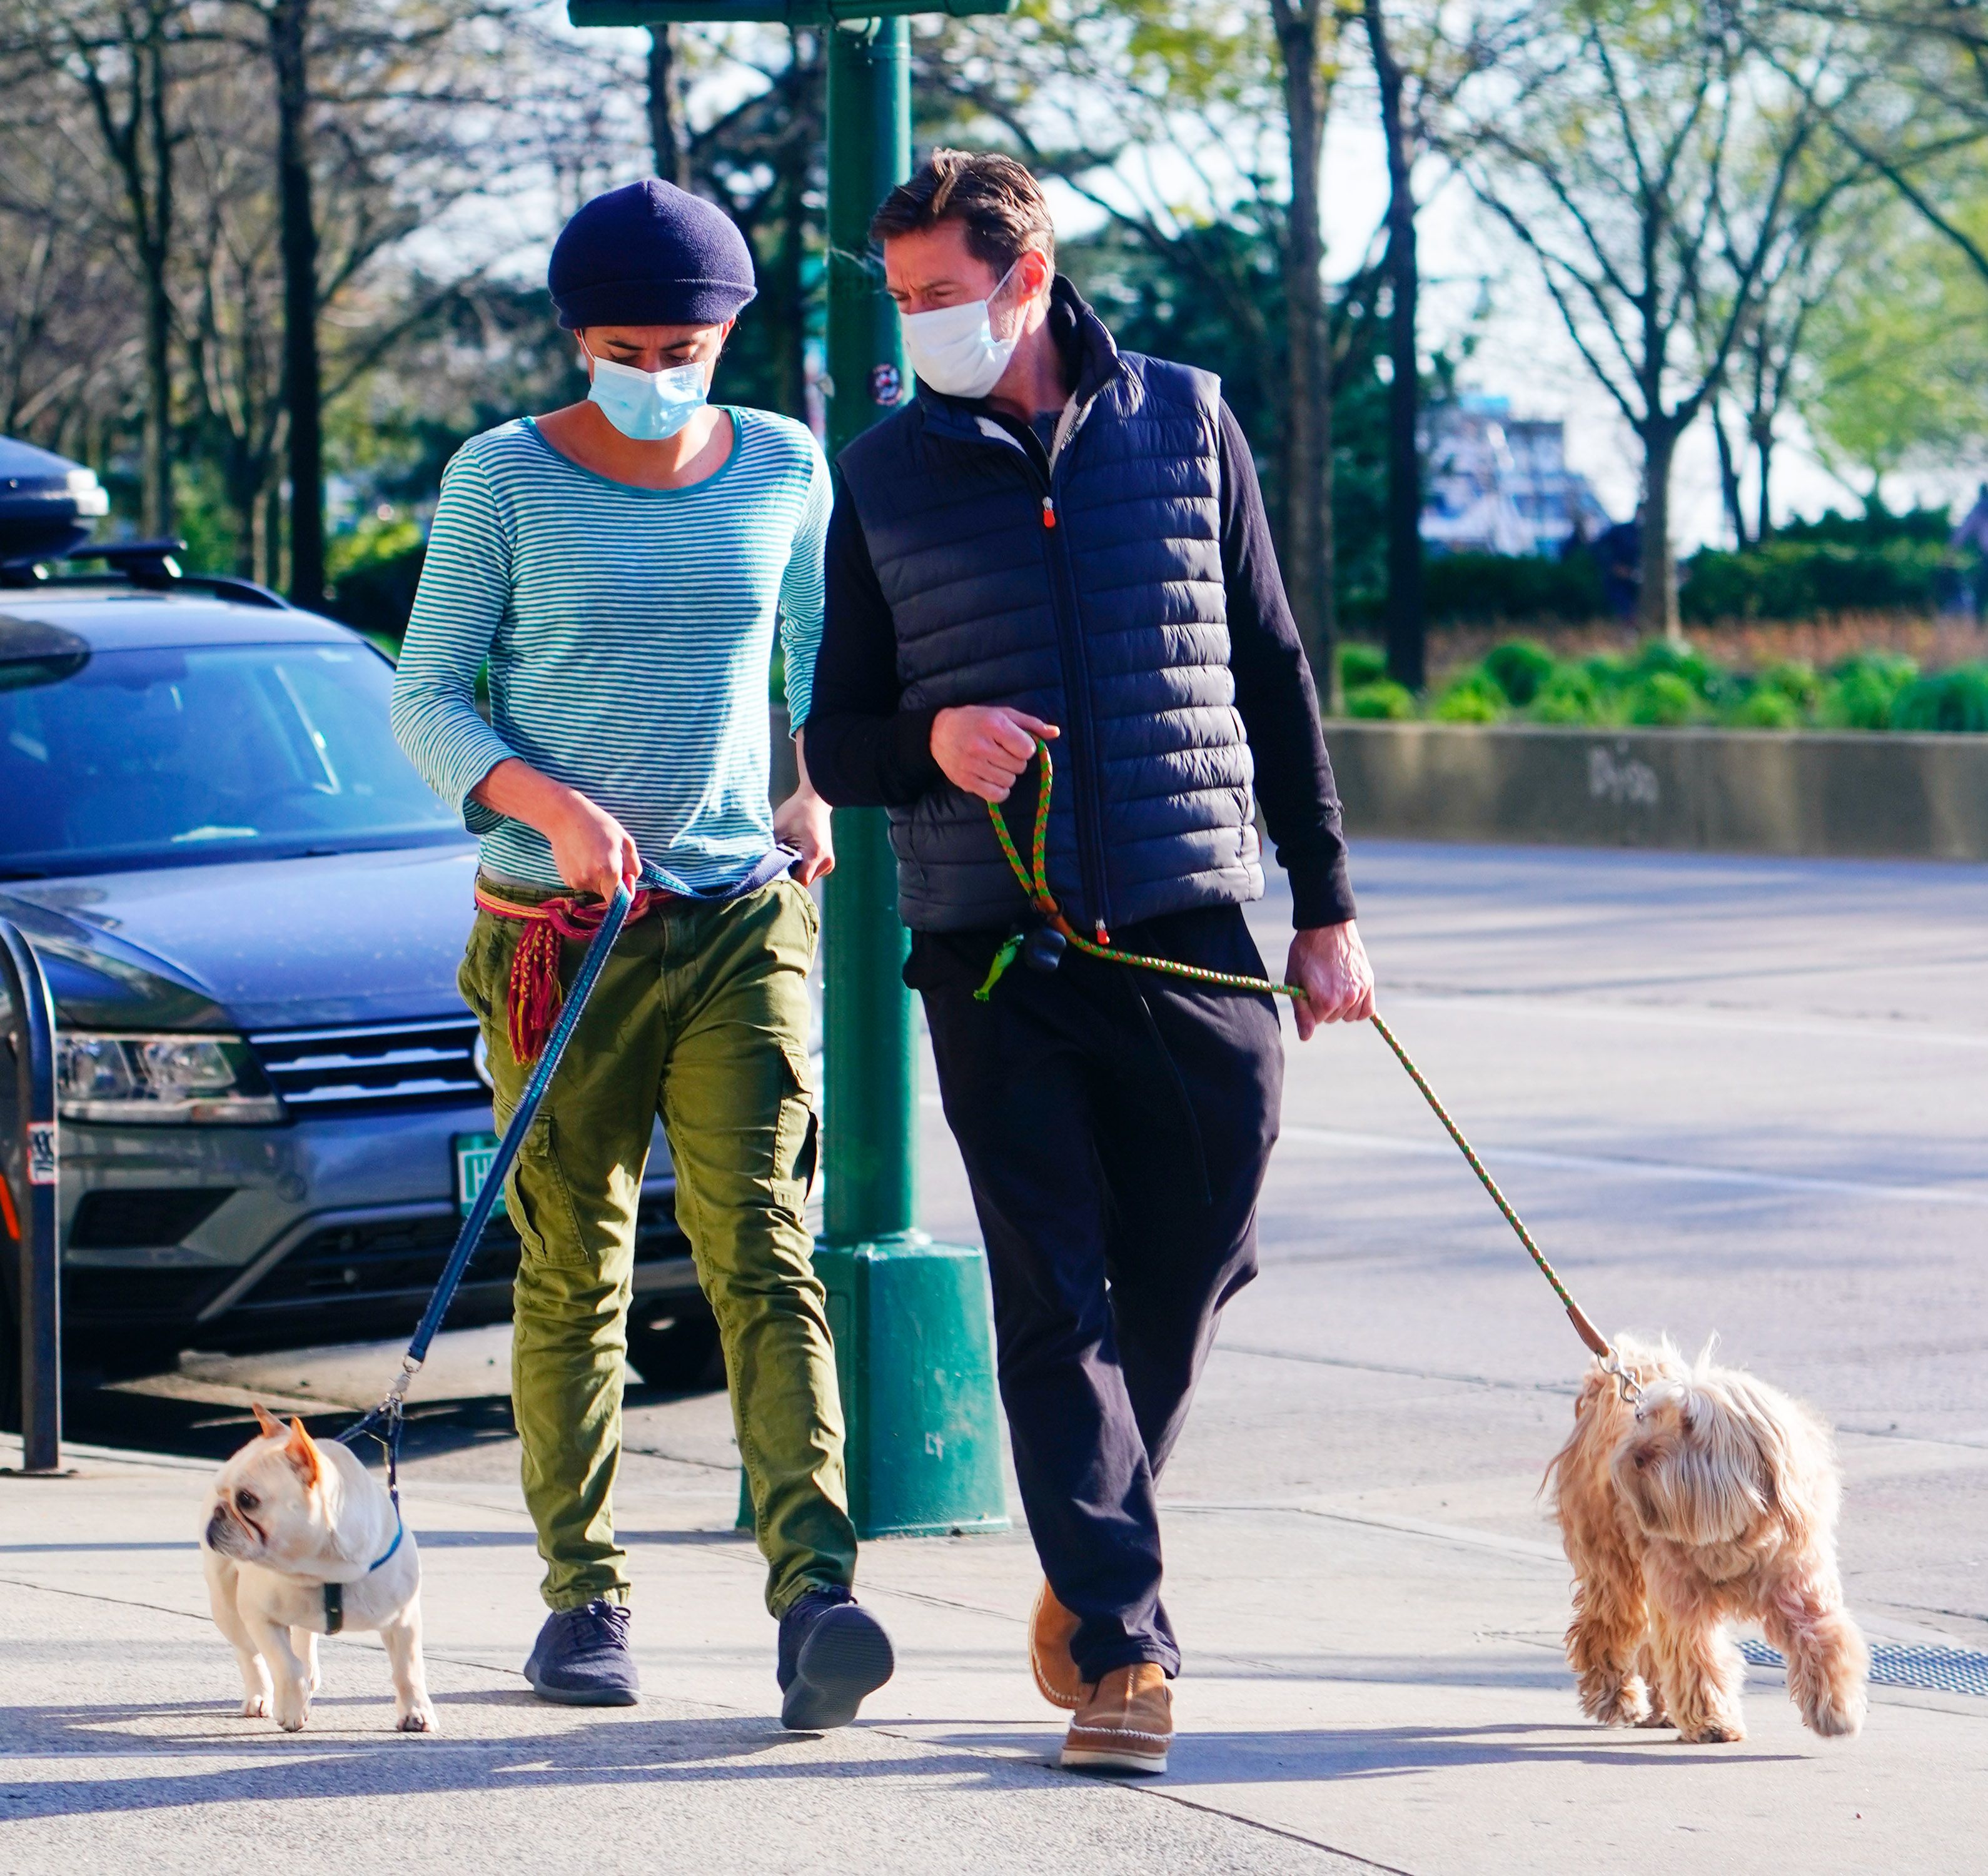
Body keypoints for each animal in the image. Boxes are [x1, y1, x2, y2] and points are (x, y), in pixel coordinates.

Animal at [1550, 1335, 1860, 1740]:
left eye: (1689, 1423)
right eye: (1645, 1418)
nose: (1637, 1454)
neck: (1729, 1535)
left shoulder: (1799, 1584)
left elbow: (1825, 1638)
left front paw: (1836, 1707)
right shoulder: (1682, 1598)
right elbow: (1696, 1656)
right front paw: (1713, 1720)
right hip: (1612, 1566)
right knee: (1606, 1630)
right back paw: (1617, 1698)